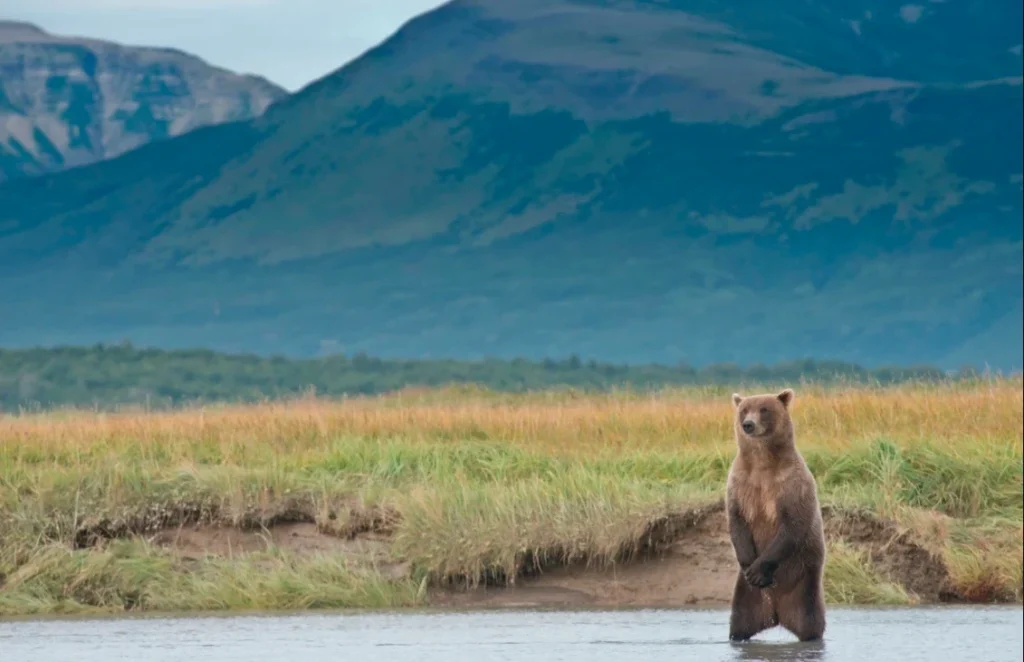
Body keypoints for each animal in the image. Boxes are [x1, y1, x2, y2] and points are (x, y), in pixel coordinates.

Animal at [725, 388, 826, 643]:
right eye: (744, 410)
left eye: (764, 409)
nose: (748, 425)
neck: (762, 463)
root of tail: (776, 613)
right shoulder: (740, 484)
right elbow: (737, 522)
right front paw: (749, 564)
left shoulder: (791, 485)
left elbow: (792, 526)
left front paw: (759, 571)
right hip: (747, 598)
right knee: (739, 621)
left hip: (804, 586)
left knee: (811, 622)